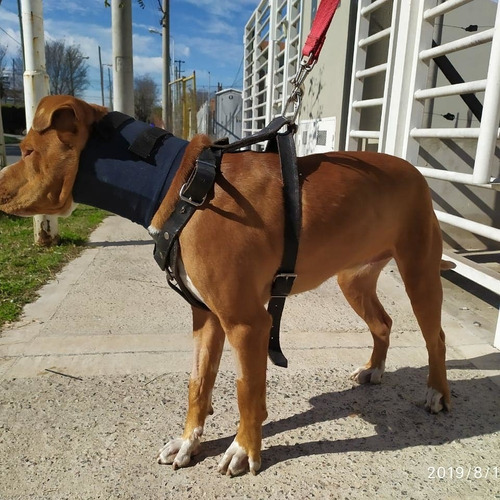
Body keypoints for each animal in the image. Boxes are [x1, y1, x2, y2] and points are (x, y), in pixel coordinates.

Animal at [0, 96, 454, 476]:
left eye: (27, 151)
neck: (181, 186)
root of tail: (413, 169)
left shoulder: (246, 323)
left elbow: (246, 389)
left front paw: (243, 448)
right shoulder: (206, 316)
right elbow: (198, 384)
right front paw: (189, 442)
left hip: (420, 274)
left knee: (436, 337)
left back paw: (437, 392)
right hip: (353, 278)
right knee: (382, 324)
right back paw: (375, 368)